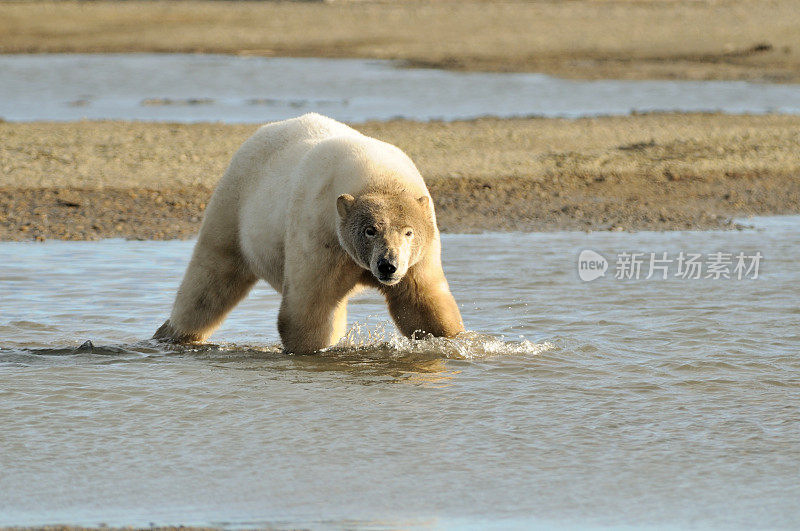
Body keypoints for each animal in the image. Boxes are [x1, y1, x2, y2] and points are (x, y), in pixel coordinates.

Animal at [153, 113, 462, 354]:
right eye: (370, 230)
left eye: (408, 232)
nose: (388, 265)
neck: (378, 175)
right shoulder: (320, 232)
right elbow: (311, 305)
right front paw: (311, 350)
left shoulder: (419, 255)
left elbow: (421, 303)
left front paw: (455, 341)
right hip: (234, 207)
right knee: (210, 279)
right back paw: (171, 333)